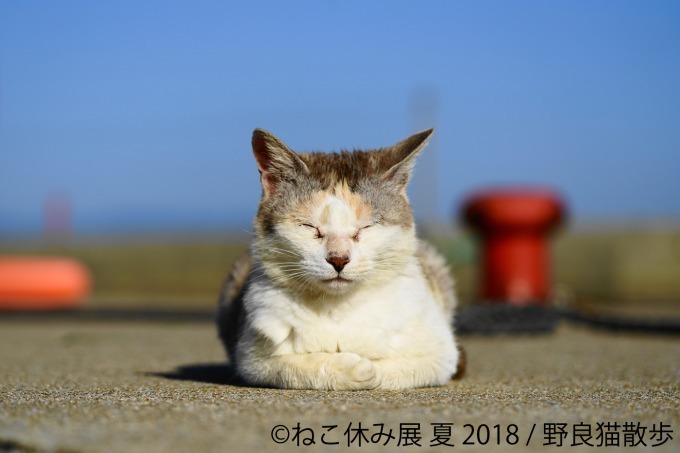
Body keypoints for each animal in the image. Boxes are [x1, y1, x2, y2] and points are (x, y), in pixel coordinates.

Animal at [218, 127, 462, 388]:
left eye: (365, 227)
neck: (338, 307)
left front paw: (371, 370)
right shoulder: (252, 358)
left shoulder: (442, 354)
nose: (338, 259)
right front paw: (353, 369)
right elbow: (294, 367)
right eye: (309, 227)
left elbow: (400, 369)